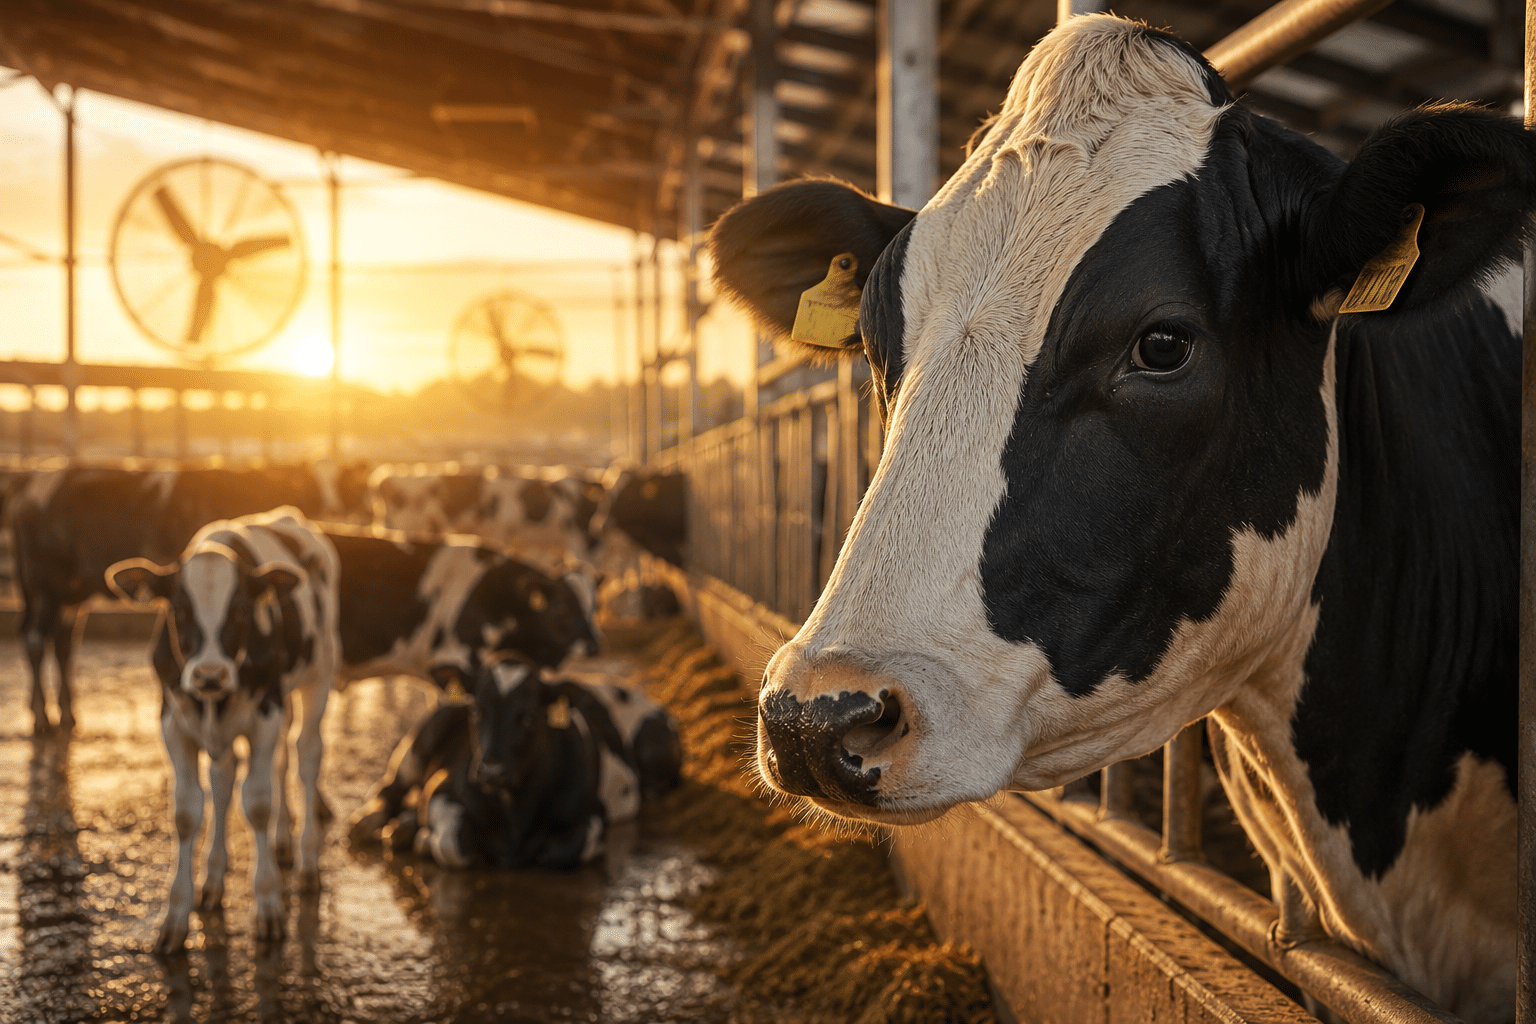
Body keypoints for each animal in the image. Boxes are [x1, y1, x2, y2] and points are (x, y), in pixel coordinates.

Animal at [12, 461, 362, 734]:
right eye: (310, 481)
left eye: (340, 480)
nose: (335, 506)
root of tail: (32, 484)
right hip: (44, 587)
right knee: (35, 640)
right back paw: (42, 718)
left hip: (69, 596)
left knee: (63, 643)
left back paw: (66, 713)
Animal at [106, 507, 340, 951]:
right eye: (178, 611)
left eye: (243, 611)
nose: (209, 675)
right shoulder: (173, 722)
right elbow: (187, 812)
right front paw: (176, 916)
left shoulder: (266, 713)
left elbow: (258, 805)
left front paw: (268, 906)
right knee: (230, 776)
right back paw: (225, 875)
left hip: (317, 678)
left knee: (306, 758)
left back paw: (306, 862)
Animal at [345, 657, 681, 869]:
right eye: (477, 710)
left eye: (529, 716)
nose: (492, 770)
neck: (514, 813)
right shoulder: (441, 790)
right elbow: (454, 846)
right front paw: (425, 840)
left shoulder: (592, 815)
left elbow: (563, 851)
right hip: (426, 734)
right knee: (390, 787)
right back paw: (368, 822)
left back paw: (401, 828)